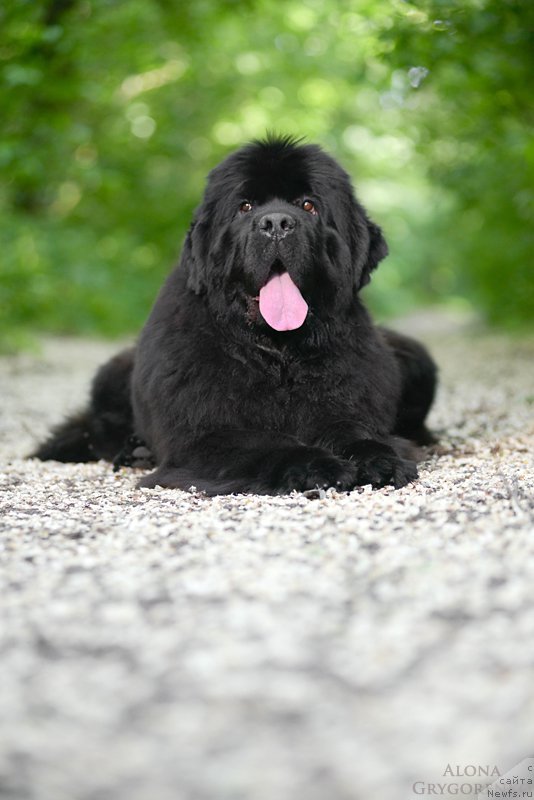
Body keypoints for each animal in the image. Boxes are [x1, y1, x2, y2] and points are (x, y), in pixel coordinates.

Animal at [36, 136, 440, 494]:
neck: (279, 354)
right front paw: (317, 466)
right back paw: (134, 451)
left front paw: (380, 458)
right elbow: (264, 445)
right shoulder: (205, 435)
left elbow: (356, 432)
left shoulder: (347, 406)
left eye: (308, 205)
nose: (276, 223)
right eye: (245, 207)